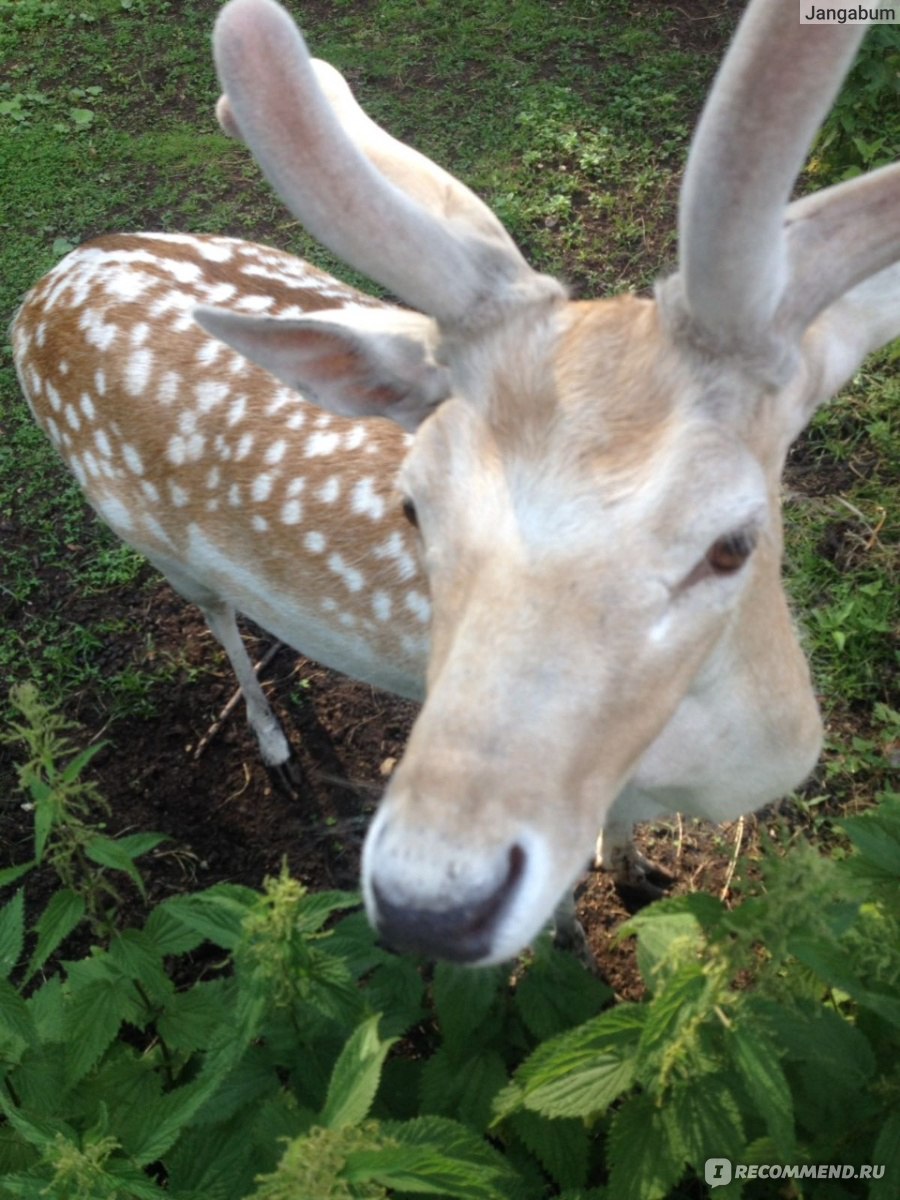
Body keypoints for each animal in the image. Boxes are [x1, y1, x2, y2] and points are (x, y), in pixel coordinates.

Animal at [8, 0, 900, 964]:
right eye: (415, 506)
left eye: (733, 543)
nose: (427, 904)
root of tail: (41, 290)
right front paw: (575, 941)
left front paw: (636, 872)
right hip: (138, 529)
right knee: (214, 614)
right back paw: (273, 740)